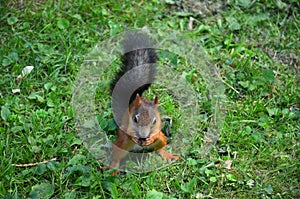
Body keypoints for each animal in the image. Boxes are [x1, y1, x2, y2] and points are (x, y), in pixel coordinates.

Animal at [104, 31, 179, 176]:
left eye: (154, 120)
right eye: (135, 118)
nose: (144, 136)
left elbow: (156, 133)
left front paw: (151, 137)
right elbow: (130, 132)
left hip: (162, 140)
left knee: (159, 149)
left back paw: (168, 155)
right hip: (121, 143)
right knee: (117, 156)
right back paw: (112, 168)